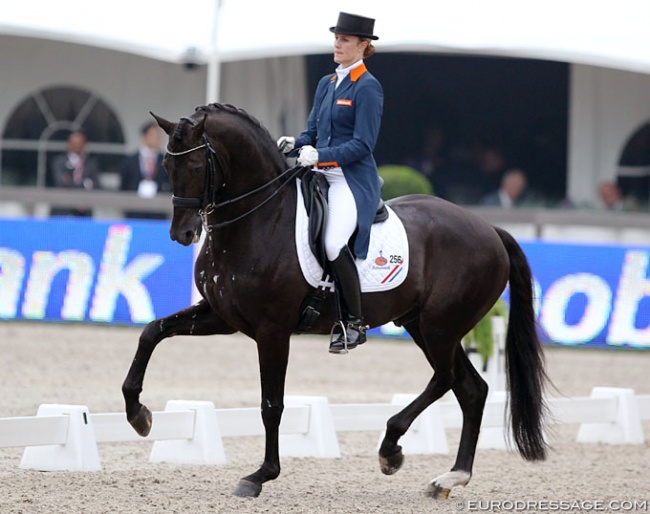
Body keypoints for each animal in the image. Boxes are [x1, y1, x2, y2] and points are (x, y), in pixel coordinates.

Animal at [121, 102, 548, 498]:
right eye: (166, 165)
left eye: (196, 165)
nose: (183, 233)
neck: (260, 220)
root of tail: (490, 229)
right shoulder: (220, 317)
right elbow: (151, 333)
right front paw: (139, 415)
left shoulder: (272, 330)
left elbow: (271, 404)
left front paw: (260, 476)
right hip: (421, 324)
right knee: (471, 389)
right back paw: (450, 477)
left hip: (440, 327)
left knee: (447, 379)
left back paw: (392, 449)